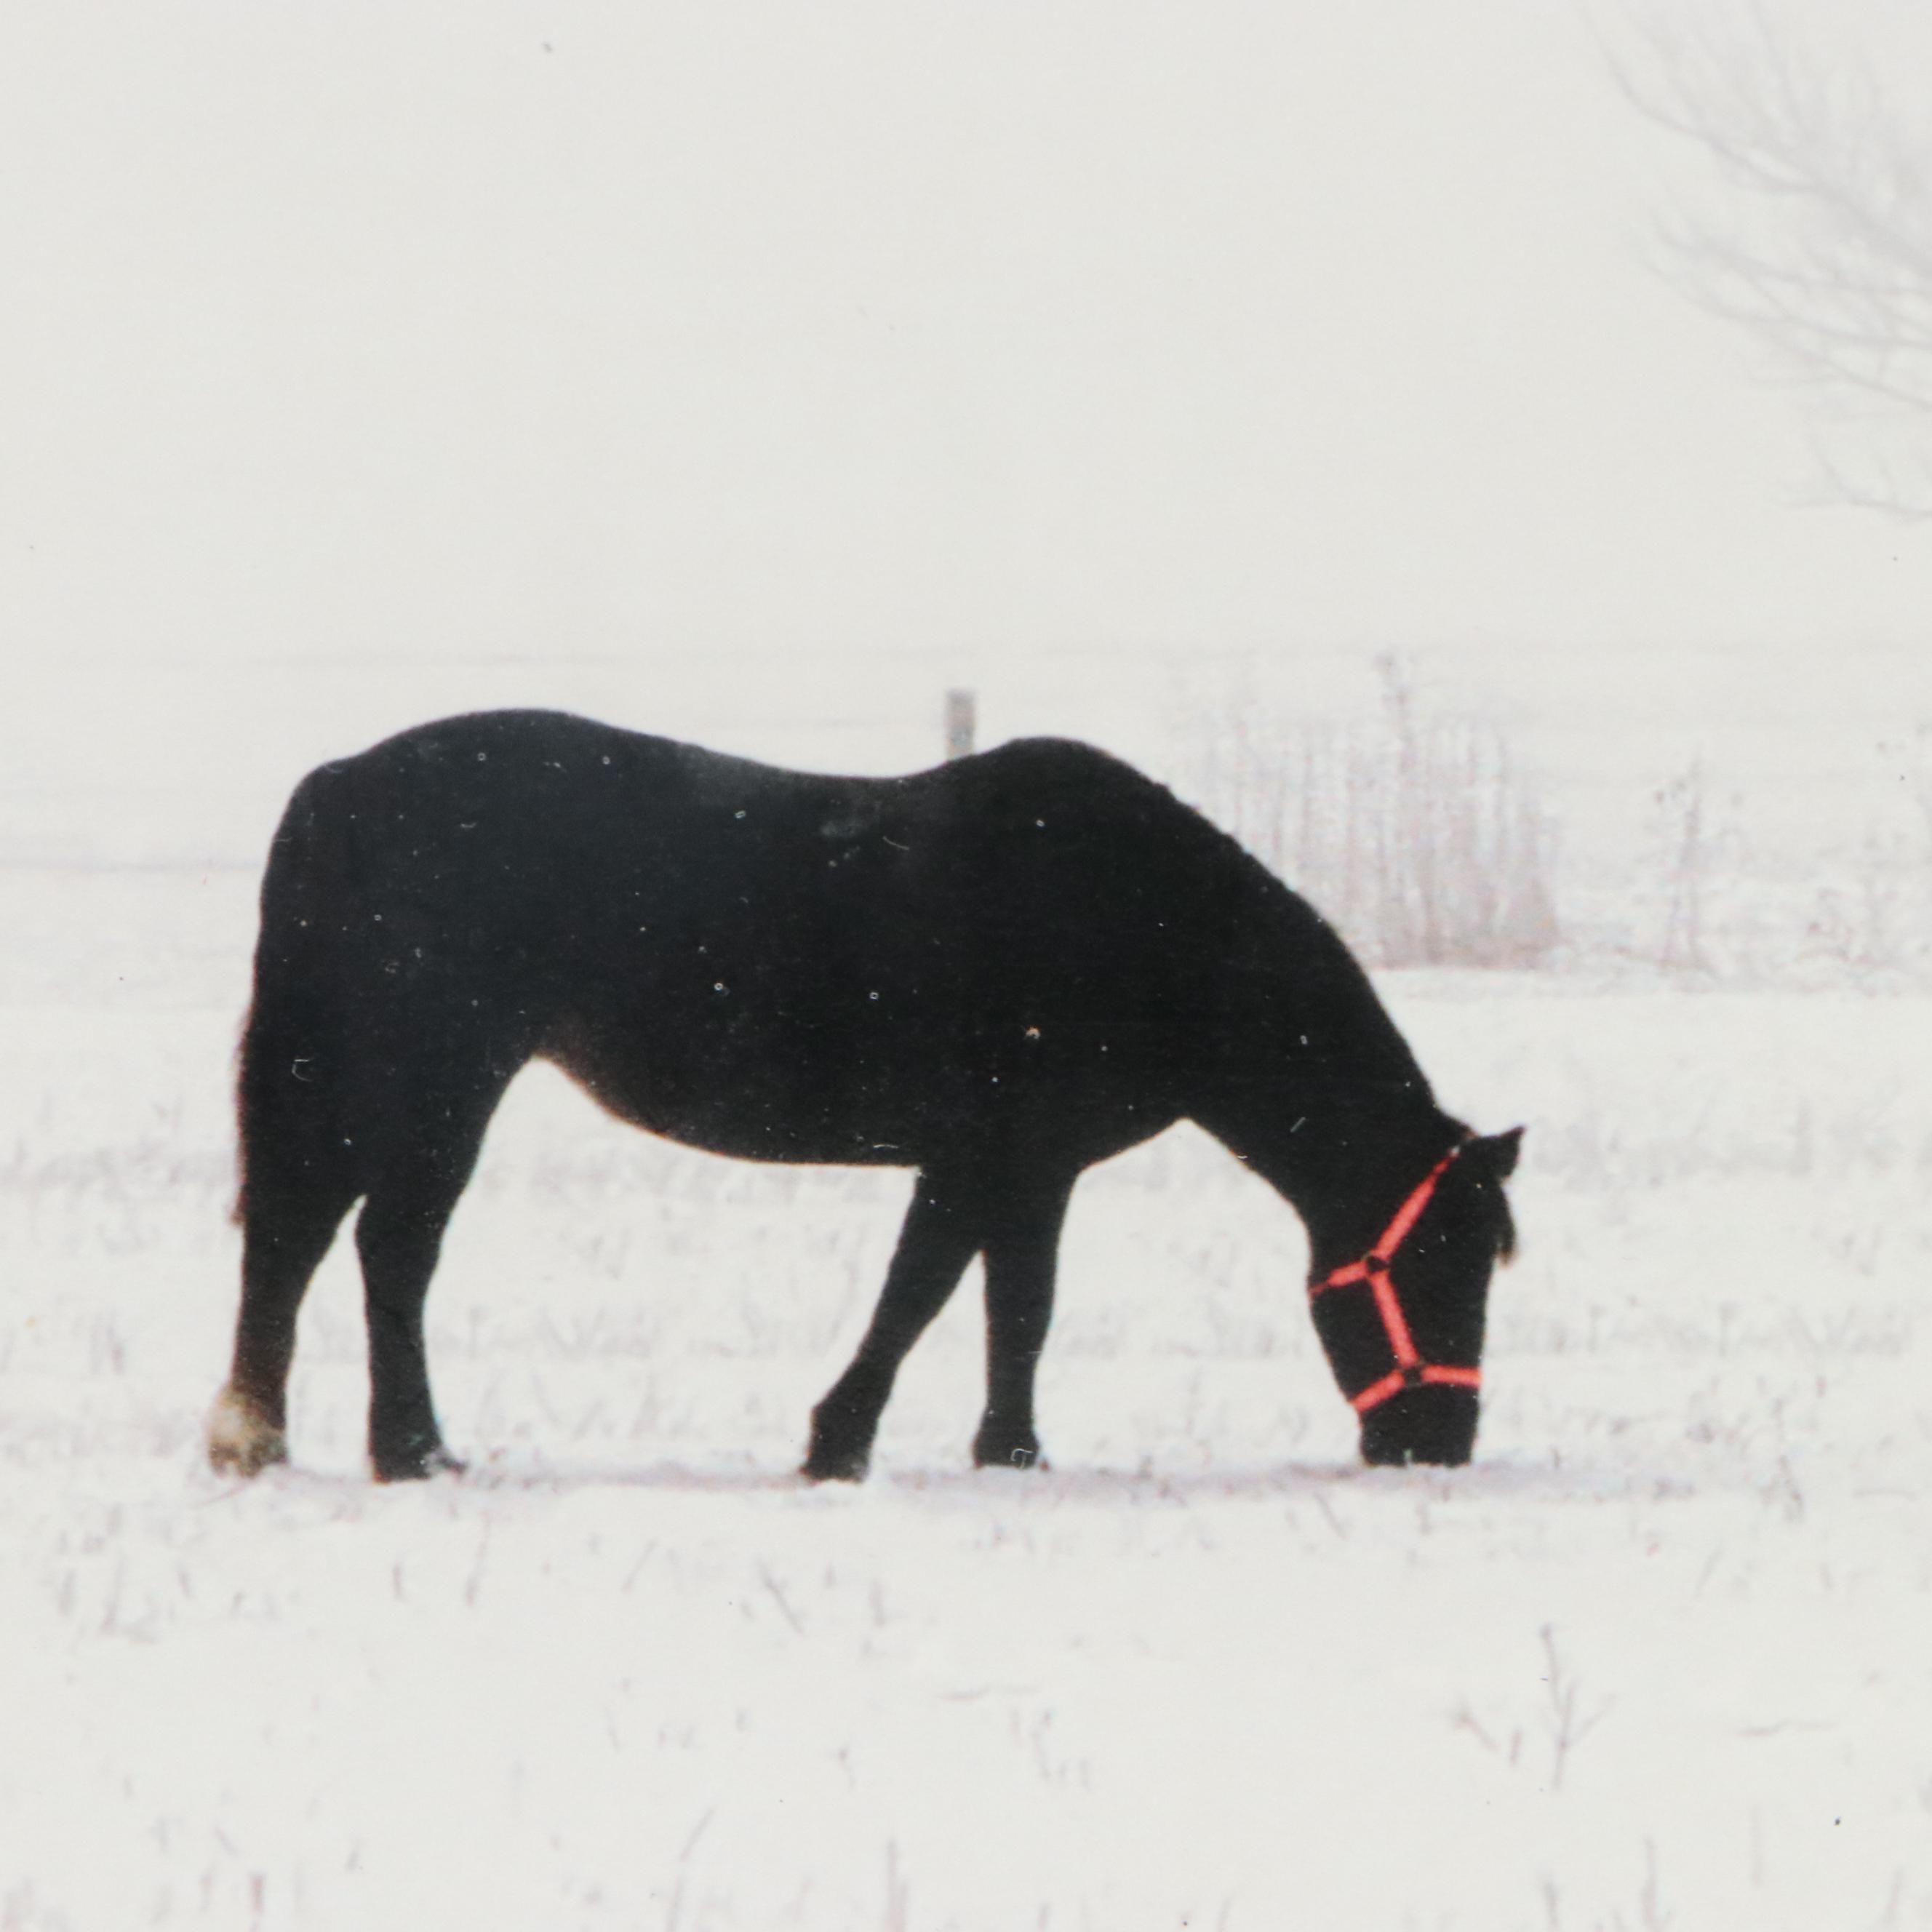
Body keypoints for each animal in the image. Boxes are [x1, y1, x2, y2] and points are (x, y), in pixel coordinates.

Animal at [206, 708, 1521, 1484]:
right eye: (1439, 1260)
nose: (1439, 1446)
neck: (1141, 922)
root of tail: (337, 786)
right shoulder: (983, 1158)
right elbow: (928, 1295)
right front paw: (842, 1446)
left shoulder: (1033, 1169)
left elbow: (1010, 1308)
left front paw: (1006, 1452)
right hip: (437, 1080)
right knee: (381, 1247)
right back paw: (407, 1452)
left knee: (309, 1238)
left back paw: (277, 1441)